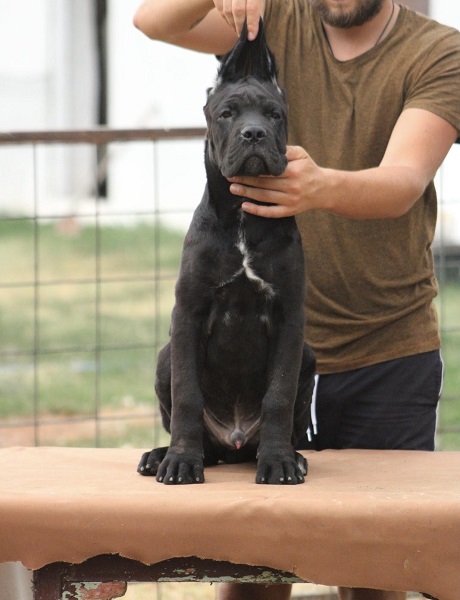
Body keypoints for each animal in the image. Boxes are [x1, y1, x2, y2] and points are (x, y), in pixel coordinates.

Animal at [137, 21, 316, 486]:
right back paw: (159, 455)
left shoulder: (289, 316)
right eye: (227, 113)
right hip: (163, 357)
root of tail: (233, 443)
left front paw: (279, 463)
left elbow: (278, 396)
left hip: (308, 355)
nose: (253, 134)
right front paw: (181, 462)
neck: (241, 216)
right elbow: (187, 396)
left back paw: (292, 455)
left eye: (273, 114)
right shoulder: (189, 310)